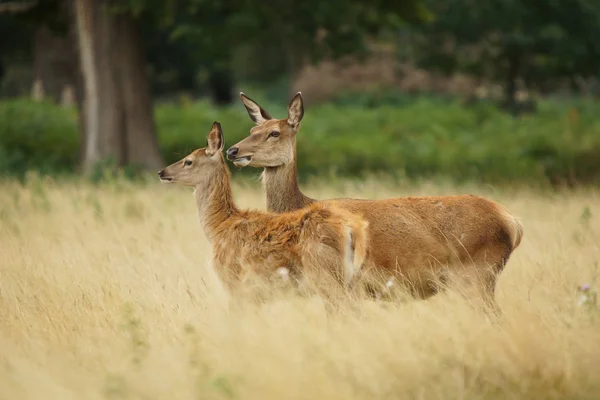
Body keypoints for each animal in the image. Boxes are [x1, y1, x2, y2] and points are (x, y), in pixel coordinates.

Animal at [157, 120, 368, 302]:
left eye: (188, 161)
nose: (162, 172)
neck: (219, 227)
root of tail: (350, 230)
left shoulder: (234, 281)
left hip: (324, 273)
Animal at [225, 93, 524, 306]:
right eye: (252, 131)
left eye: (274, 133)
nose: (233, 150)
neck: (300, 205)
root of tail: (513, 222)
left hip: (477, 274)